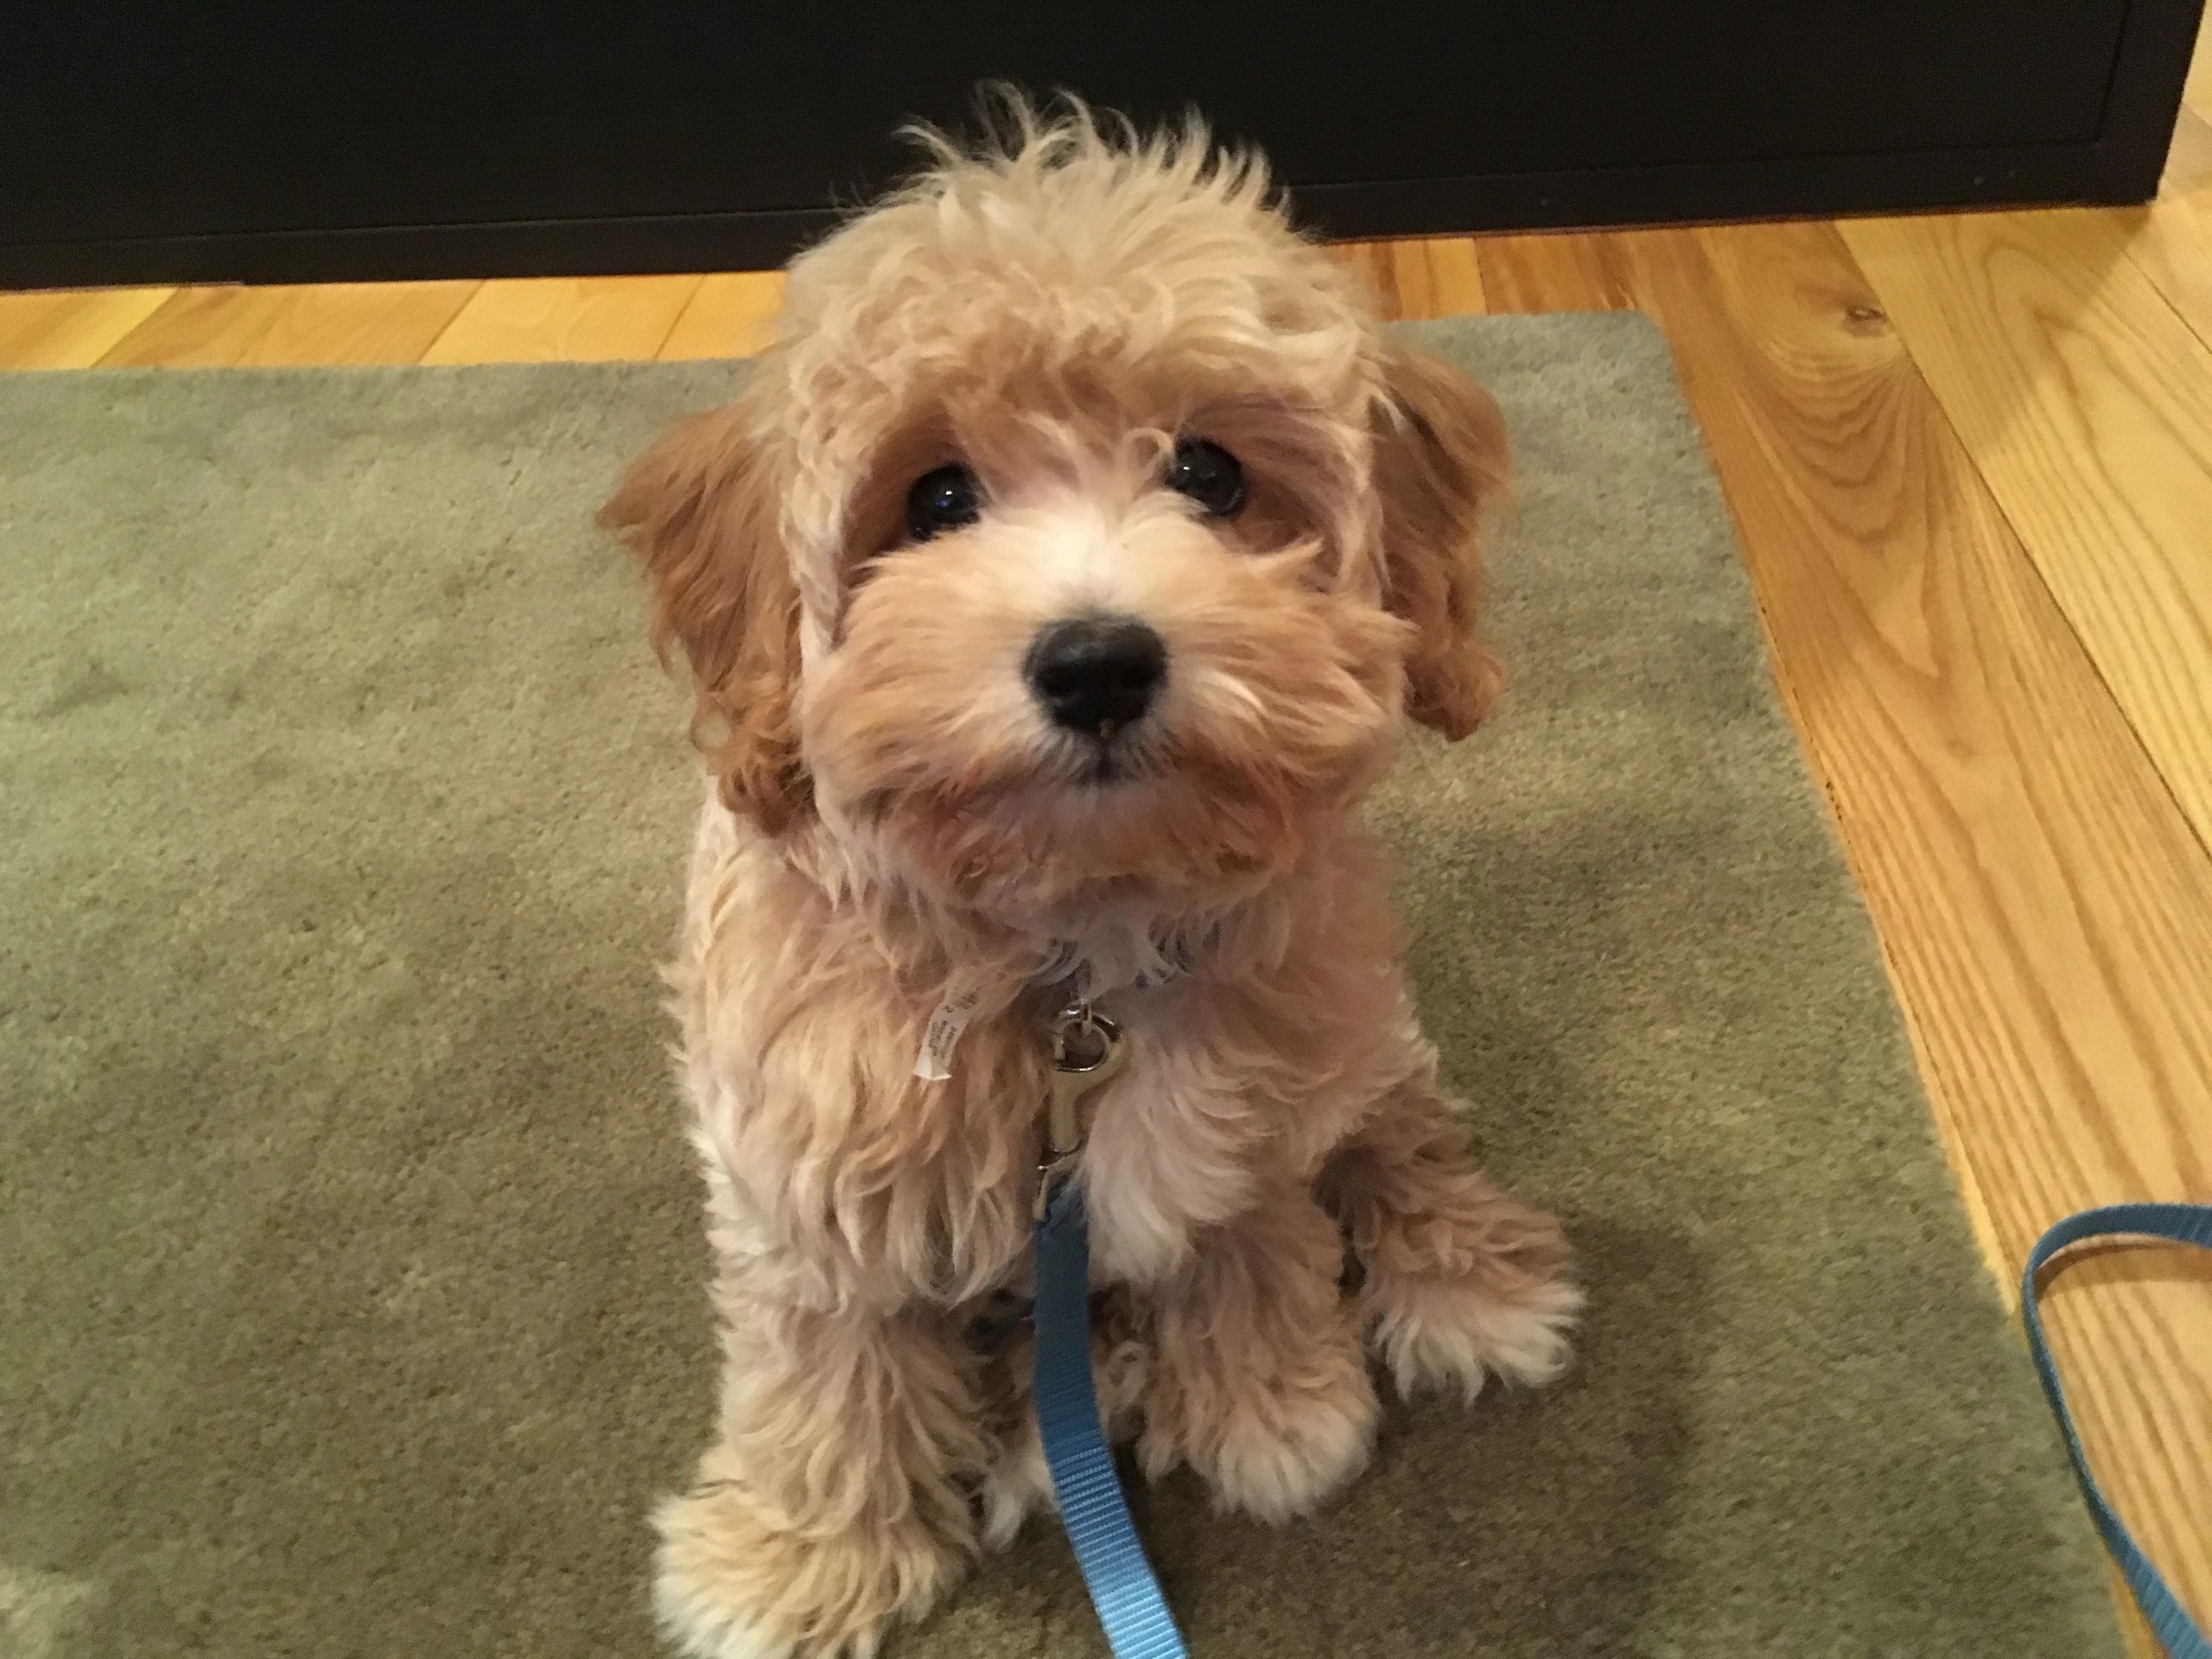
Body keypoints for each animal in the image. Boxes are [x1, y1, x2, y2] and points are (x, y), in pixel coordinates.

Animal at [602, 101, 1580, 1659]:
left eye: (1211, 474)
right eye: (936, 496)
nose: (1100, 659)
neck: (1067, 958)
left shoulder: (1246, 1118)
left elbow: (1247, 1245)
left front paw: (1274, 1412)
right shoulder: (805, 1166)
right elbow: (826, 1371)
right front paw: (803, 1560)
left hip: (1350, 1015)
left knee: (1400, 1124)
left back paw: (1462, 1276)